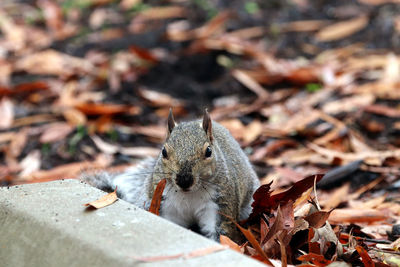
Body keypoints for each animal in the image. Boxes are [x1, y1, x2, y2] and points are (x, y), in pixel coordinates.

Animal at [83, 110, 260, 244]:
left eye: (209, 151)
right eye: (164, 152)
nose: (184, 180)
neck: (190, 195)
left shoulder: (220, 206)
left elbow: (220, 232)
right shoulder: (166, 205)